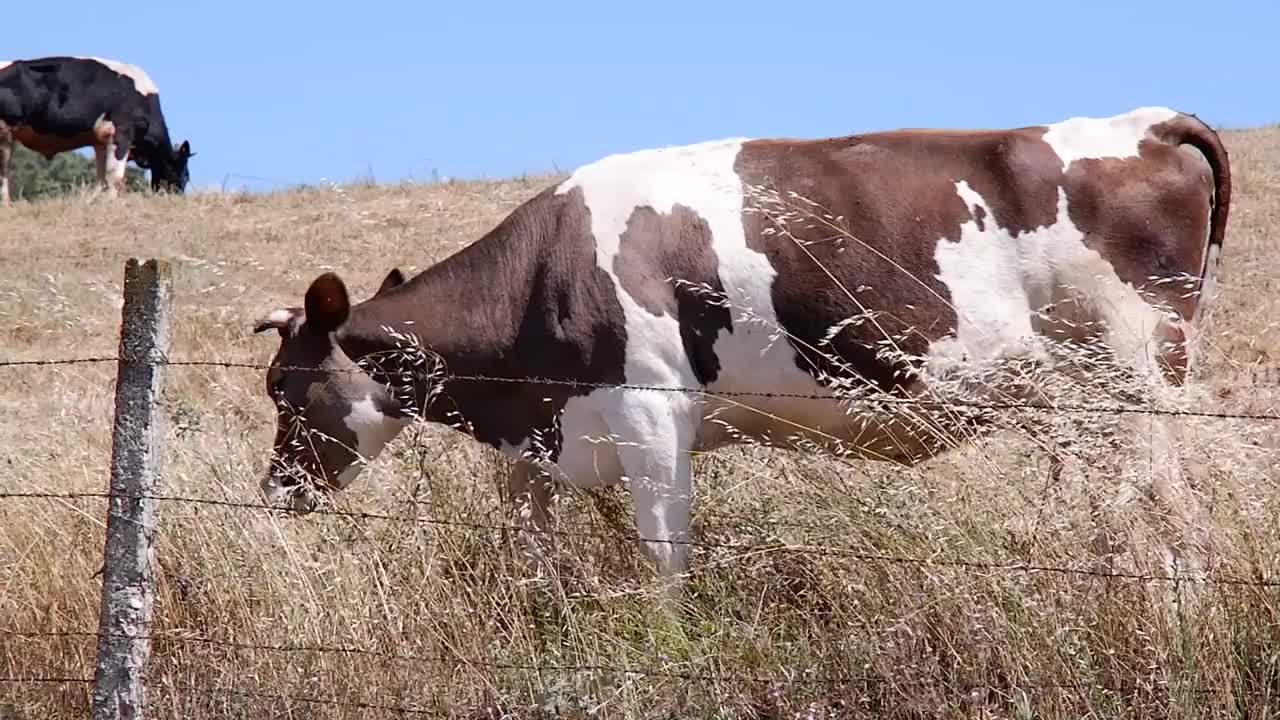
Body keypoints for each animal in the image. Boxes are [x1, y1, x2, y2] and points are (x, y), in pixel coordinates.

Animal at [0, 54, 194, 202]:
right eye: (185, 174)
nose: (178, 197)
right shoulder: (121, 134)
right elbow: (115, 176)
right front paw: (111, 203)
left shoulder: (101, 142)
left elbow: (101, 178)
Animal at [252, 106, 1228, 576]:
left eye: (283, 388)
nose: (274, 493)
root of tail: (1144, 122)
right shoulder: (540, 445)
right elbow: (533, 554)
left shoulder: (653, 419)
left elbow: (665, 561)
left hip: (1138, 386)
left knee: (1176, 520)